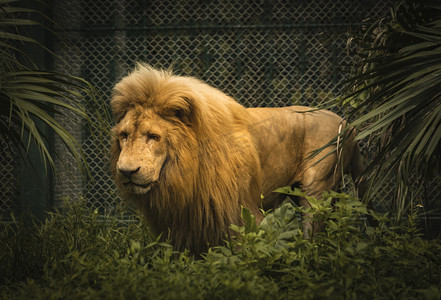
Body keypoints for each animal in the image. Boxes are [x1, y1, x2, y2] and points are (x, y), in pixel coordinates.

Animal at [110, 64, 364, 254]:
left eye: (153, 136)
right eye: (124, 135)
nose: (126, 171)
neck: (183, 171)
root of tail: (348, 124)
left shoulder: (239, 209)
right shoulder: (185, 218)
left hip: (316, 189)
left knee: (312, 230)